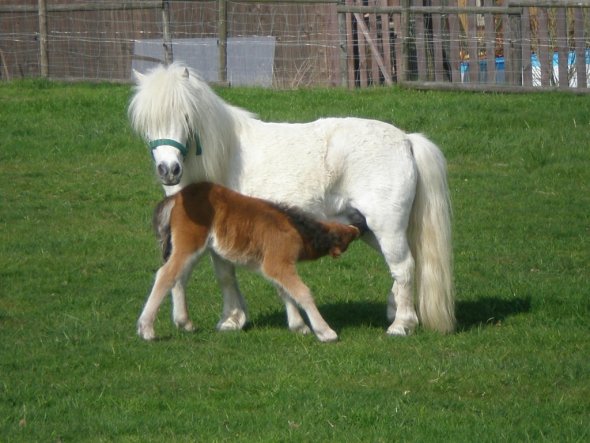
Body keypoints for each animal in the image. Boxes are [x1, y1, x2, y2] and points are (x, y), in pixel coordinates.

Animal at [127, 63, 456, 336]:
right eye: (147, 124)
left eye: (185, 116)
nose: (168, 170)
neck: (224, 154)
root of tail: (407, 139)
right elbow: (222, 274)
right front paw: (233, 318)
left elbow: (222, 273)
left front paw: (231, 319)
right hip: (367, 229)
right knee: (405, 267)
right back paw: (396, 311)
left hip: (386, 227)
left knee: (404, 267)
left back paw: (401, 325)